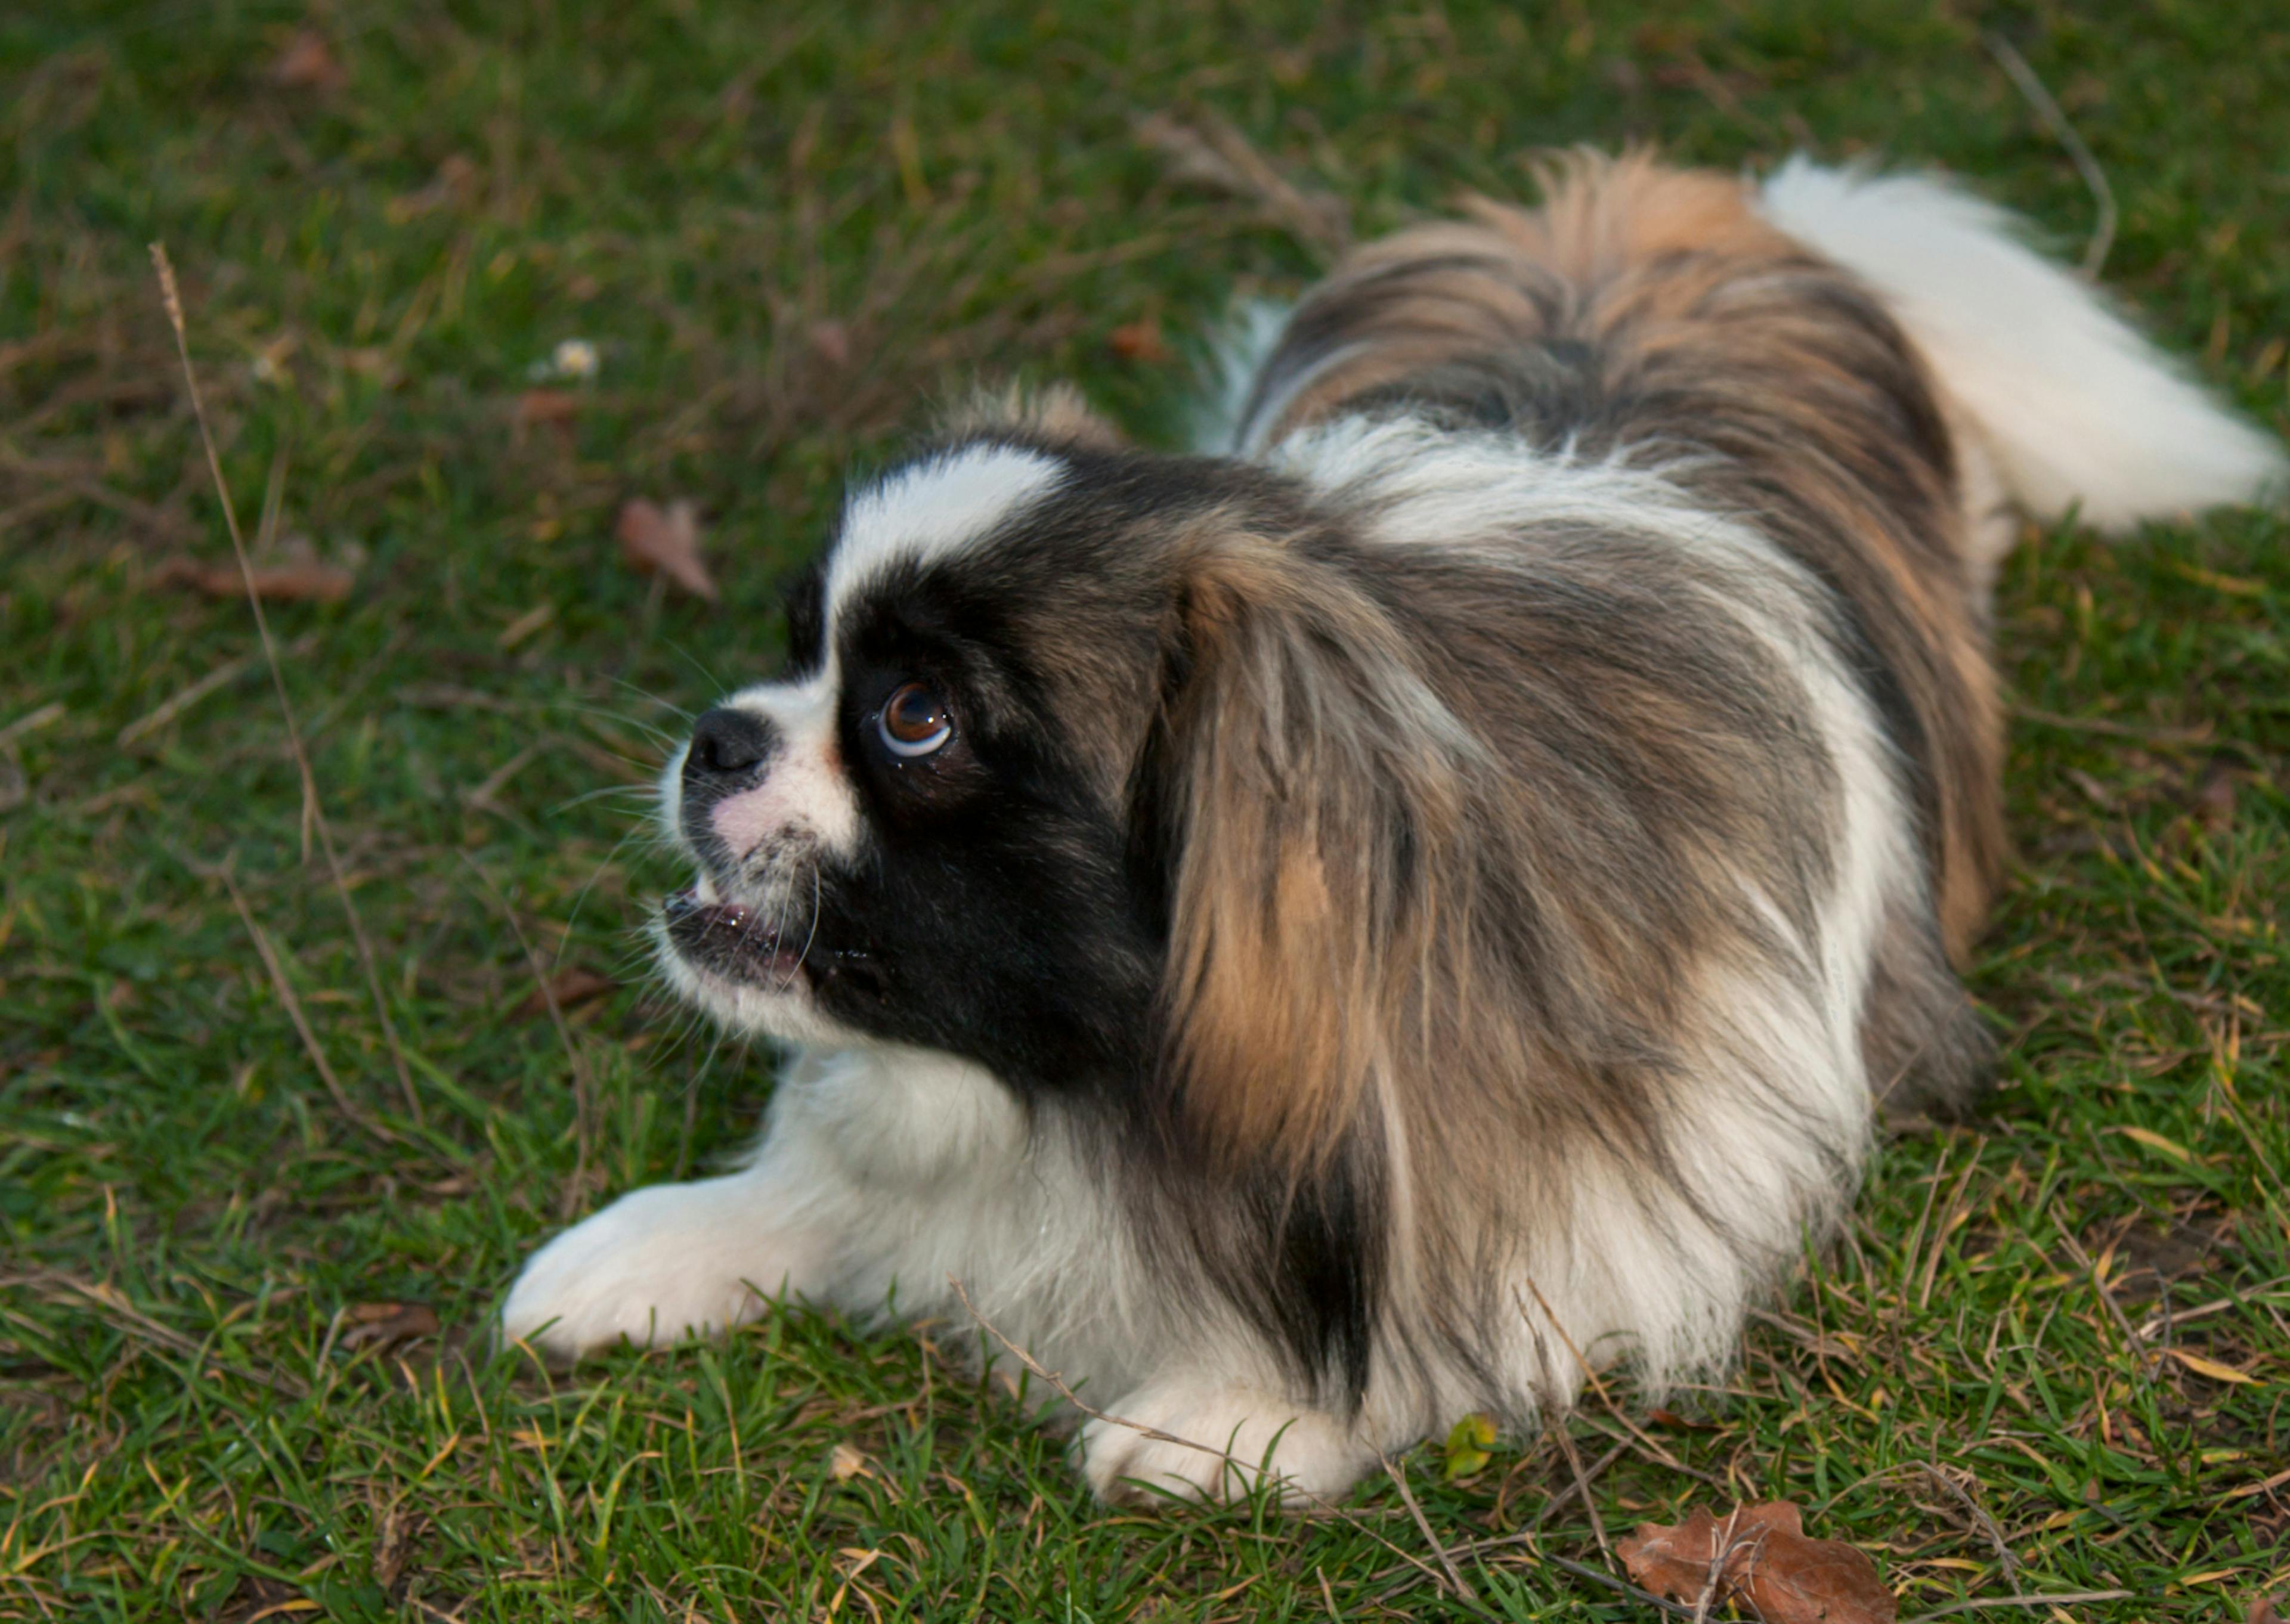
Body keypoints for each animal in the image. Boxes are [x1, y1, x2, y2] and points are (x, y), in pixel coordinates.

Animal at [506, 156, 2290, 1511]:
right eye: (798, 642)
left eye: (916, 719)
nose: (717, 735)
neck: (1092, 1102)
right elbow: (807, 1182)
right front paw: (650, 1247)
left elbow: (1467, 1306)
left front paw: (1246, 1409)